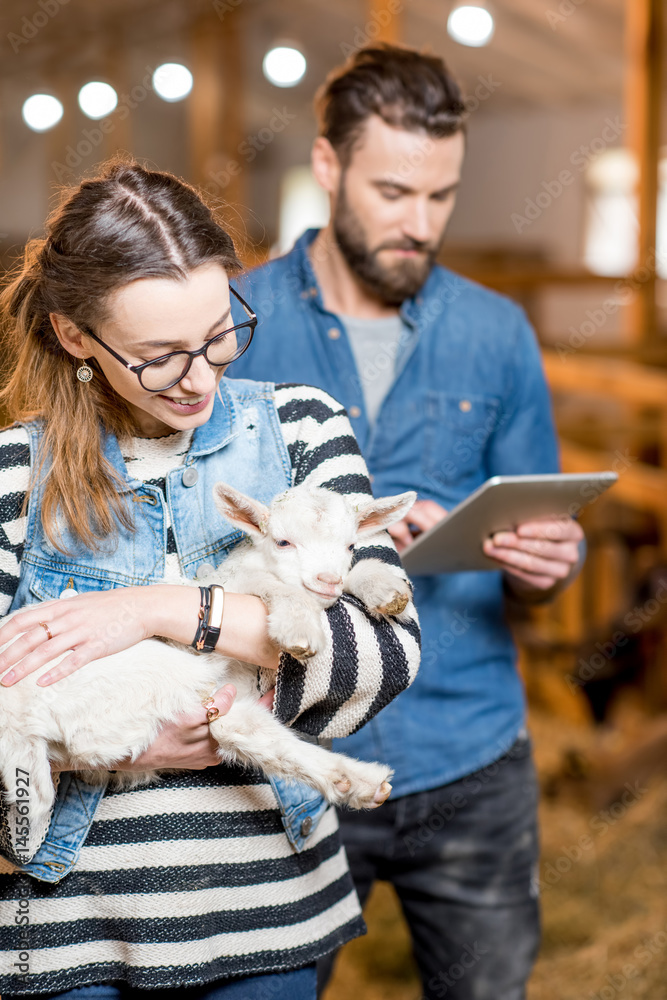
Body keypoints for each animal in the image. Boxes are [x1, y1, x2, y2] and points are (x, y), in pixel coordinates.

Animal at [1, 480, 418, 856]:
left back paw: (356, 782)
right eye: (283, 542)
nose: (327, 580)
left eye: (350, 545)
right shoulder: (235, 584)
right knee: (232, 725)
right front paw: (298, 625)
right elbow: (267, 584)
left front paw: (386, 589)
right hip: (144, 676)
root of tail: (20, 723)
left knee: (243, 730)